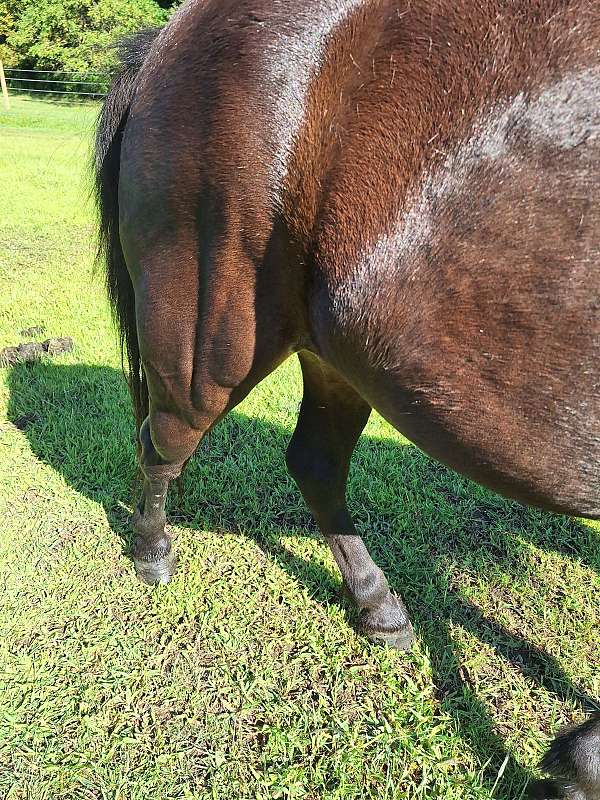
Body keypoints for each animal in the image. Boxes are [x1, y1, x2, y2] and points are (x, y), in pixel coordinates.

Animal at [95, 2, 600, 796]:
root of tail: (165, 42)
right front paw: (580, 760)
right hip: (207, 339)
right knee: (163, 441)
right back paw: (152, 553)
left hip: (336, 354)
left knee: (313, 462)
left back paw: (378, 606)